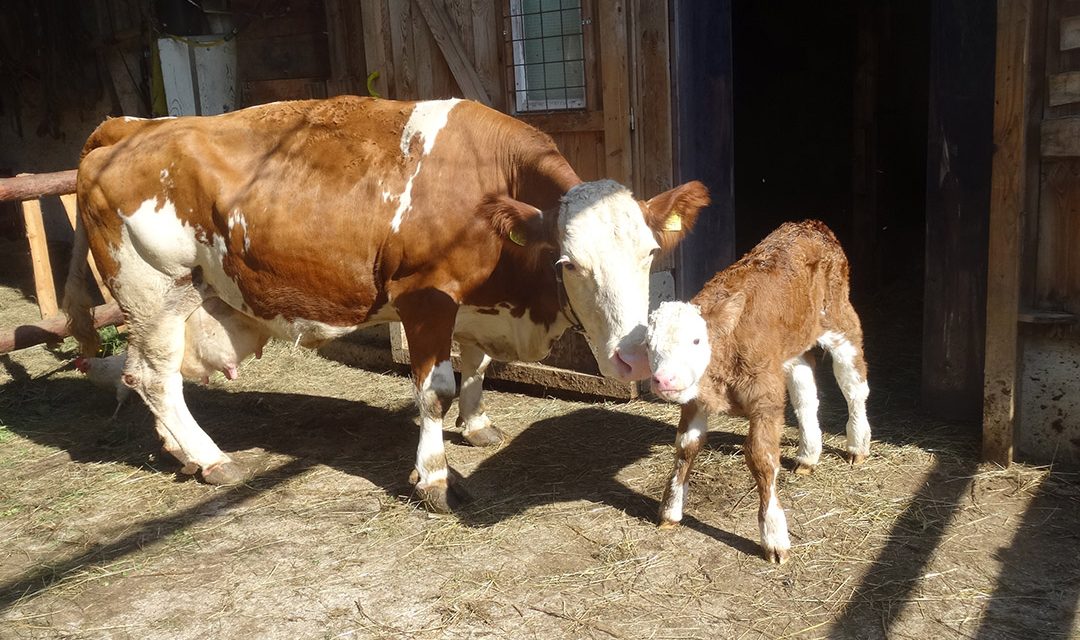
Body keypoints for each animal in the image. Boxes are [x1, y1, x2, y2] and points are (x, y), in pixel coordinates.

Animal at [65, 96, 708, 509]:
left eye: (652, 252)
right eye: (568, 263)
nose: (634, 359)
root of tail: (125, 127)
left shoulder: (470, 305)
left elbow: (476, 367)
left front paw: (477, 426)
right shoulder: (425, 299)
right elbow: (435, 390)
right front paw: (435, 479)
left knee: (144, 373)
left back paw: (181, 452)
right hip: (155, 286)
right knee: (156, 377)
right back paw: (212, 457)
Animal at [639, 221, 868, 565]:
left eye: (696, 340)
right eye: (649, 346)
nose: (663, 380)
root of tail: (810, 225)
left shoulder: (765, 397)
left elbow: (761, 458)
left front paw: (774, 537)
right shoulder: (696, 399)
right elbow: (685, 448)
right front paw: (671, 510)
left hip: (839, 318)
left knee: (854, 384)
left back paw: (857, 445)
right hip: (791, 347)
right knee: (805, 394)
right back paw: (808, 455)